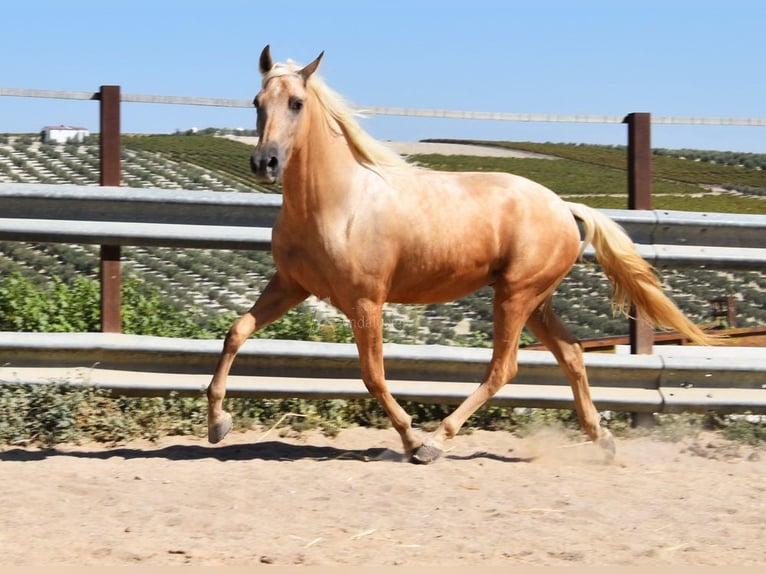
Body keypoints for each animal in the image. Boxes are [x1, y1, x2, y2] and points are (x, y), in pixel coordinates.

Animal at [207, 46, 716, 468]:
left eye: (296, 102)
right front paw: (217, 424)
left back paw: (436, 441)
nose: (265, 163)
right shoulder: (291, 285)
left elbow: (373, 375)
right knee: (571, 354)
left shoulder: (366, 302)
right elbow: (237, 332)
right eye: (257, 102)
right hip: (536, 302)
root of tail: (564, 207)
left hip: (515, 297)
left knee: (504, 367)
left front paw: (412, 439)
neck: (337, 203)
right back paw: (603, 440)